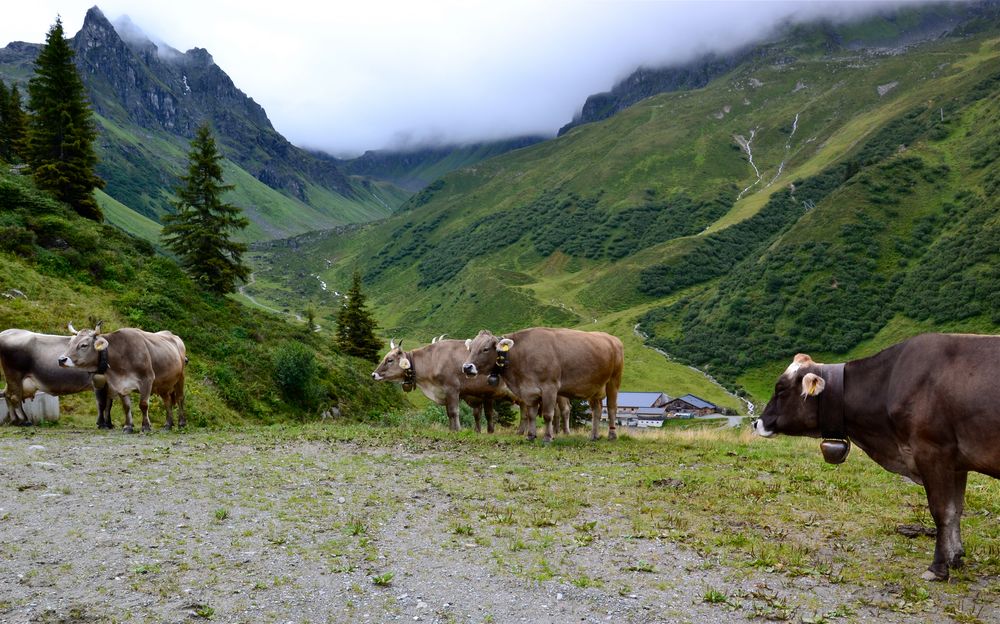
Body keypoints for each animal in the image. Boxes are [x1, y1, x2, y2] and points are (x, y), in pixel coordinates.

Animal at [57, 324, 188, 432]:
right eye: (70, 344)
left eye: (84, 345)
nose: (61, 360)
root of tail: (174, 336)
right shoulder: (120, 383)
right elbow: (126, 406)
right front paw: (128, 426)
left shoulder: (147, 379)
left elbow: (143, 404)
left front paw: (146, 426)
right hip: (163, 384)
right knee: (167, 401)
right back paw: (168, 425)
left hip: (180, 377)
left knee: (180, 398)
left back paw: (182, 423)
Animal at [462, 326, 620, 444]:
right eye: (470, 348)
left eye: (486, 348)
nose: (467, 367)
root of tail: (612, 338)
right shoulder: (529, 391)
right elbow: (531, 415)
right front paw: (531, 436)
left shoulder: (550, 387)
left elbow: (548, 415)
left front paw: (548, 438)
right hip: (594, 387)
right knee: (596, 410)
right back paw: (594, 435)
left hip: (613, 381)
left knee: (611, 408)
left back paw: (612, 435)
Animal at [752, 334, 1000, 584]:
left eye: (781, 389)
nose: (757, 422)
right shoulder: (957, 463)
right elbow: (956, 510)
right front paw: (956, 557)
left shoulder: (933, 451)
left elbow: (942, 511)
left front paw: (938, 567)